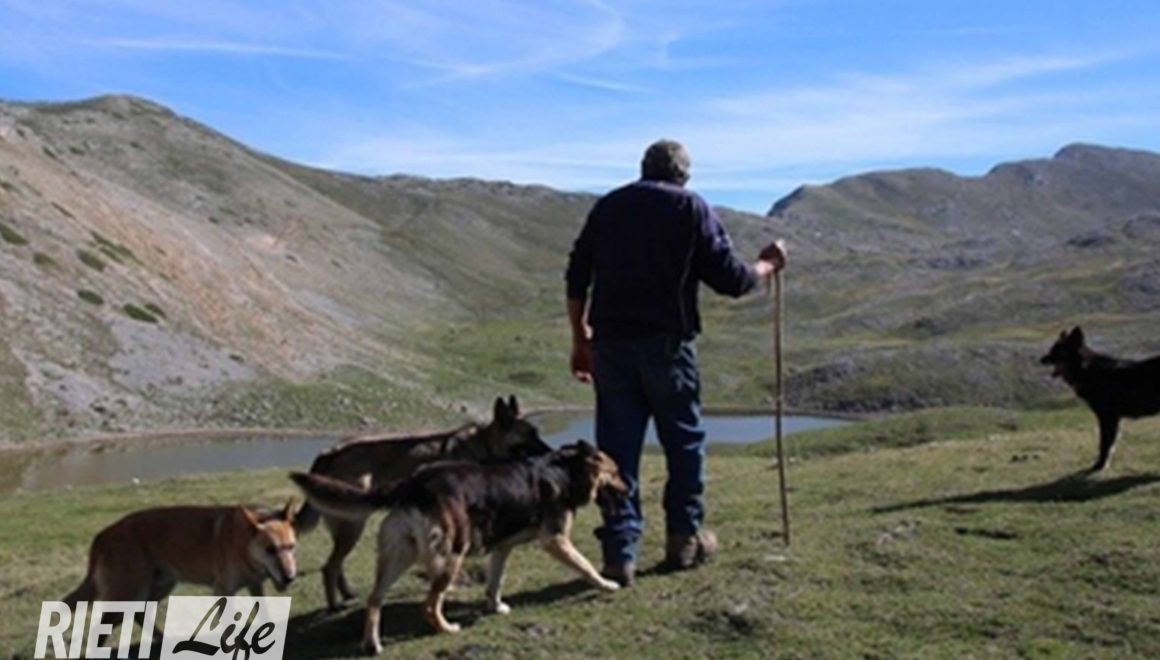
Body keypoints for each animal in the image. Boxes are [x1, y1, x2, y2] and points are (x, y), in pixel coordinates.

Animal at [62, 501, 297, 645]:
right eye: (270, 549)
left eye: (291, 547)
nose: (290, 577)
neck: (243, 543)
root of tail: (101, 536)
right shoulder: (223, 591)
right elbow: (230, 626)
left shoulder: (255, 585)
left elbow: (264, 613)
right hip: (127, 595)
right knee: (98, 632)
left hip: (157, 588)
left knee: (140, 614)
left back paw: (163, 639)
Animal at [290, 440, 626, 653]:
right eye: (616, 473)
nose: (628, 490)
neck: (566, 470)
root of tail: (413, 483)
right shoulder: (556, 540)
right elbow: (584, 565)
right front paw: (607, 584)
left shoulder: (503, 547)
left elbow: (495, 581)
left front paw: (495, 606)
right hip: (452, 555)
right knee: (429, 604)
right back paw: (446, 628)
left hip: (399, 555)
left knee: (374, 599)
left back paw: (372, 644)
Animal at [294, 395, 551, 610]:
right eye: (529, 435)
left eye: (538, 432)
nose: (551, 452)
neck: (486, 445)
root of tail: (330, 452)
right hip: (353, 525)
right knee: (329, 566)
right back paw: (334, 605)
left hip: (347, 524)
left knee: (336, 564)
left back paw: (347, 594)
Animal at [1041, 326, 1160, 470]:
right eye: (1052, 349)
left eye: (1058, 351)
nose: (1041, 360)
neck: (1087, 369)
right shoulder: (1112, 418)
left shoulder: (1107, 417)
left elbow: (1104, 443)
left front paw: (1100, 464)